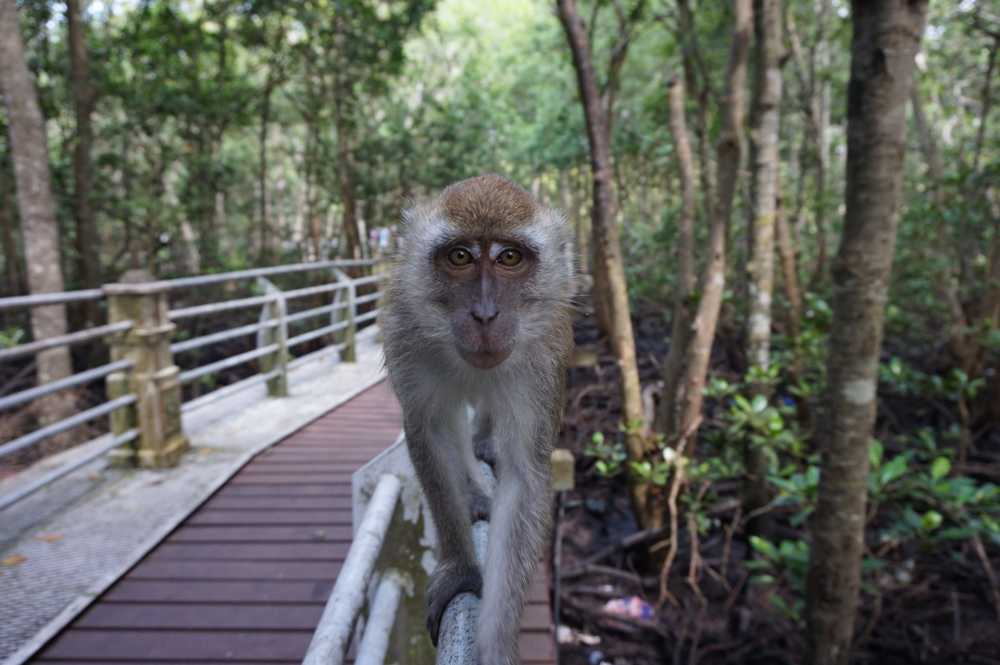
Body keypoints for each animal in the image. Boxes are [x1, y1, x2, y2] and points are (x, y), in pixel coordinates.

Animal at [378, 174, 576, 660]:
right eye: (460, 256)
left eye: (509, 257)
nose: (485, 314)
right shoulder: (405, 335)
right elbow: (429, 431)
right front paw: (462, 568)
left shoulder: (544, 358)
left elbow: (525, 475)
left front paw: (495, 645)